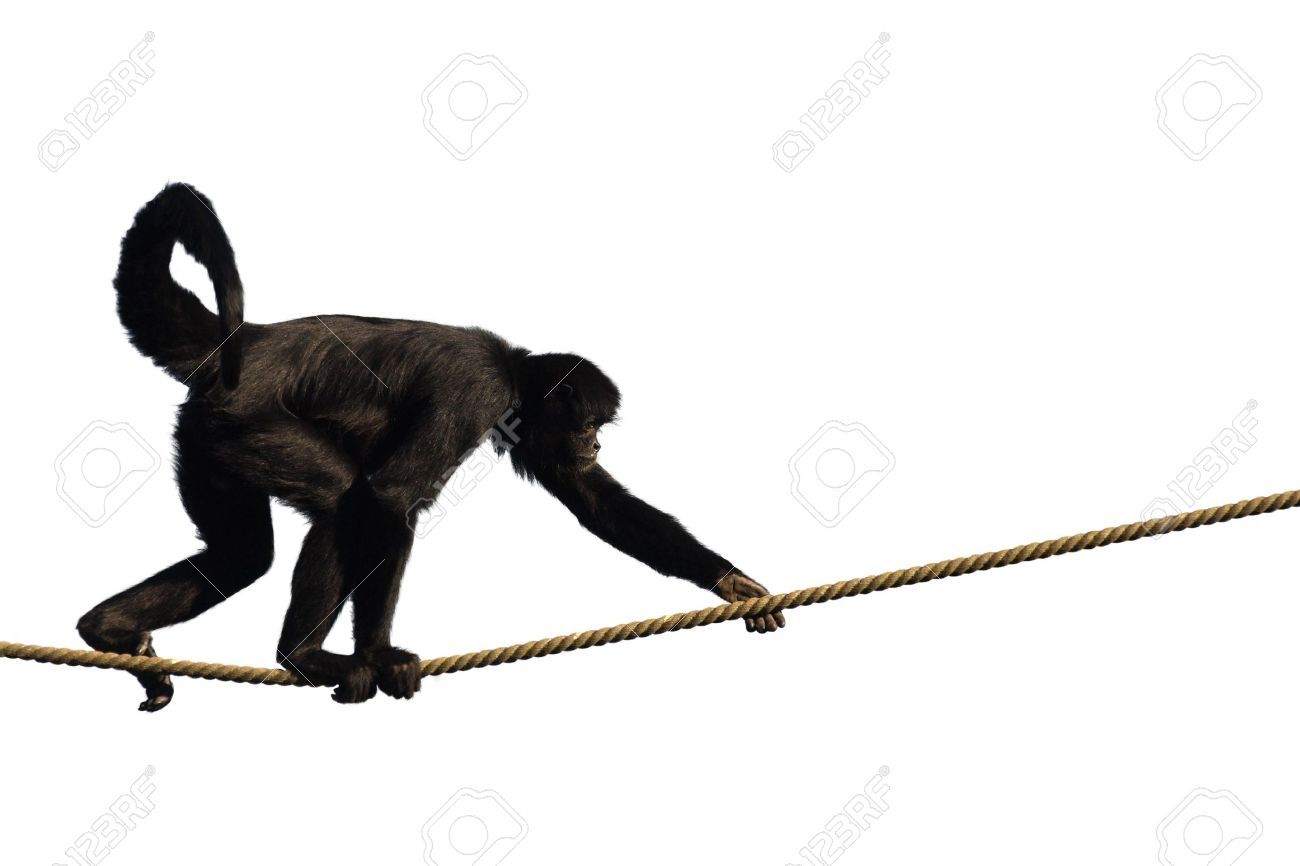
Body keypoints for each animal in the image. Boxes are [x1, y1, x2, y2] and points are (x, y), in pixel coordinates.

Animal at [76, 184, 785, 711]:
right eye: (589, 423)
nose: (595, 442)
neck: (513, 369)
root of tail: (246, 345)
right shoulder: (476, 389)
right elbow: (390, 496)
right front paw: (377, 656)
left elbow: (597, 504)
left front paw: (734, 583)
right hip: (244, 424)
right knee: (340, 500)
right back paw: (304, 657)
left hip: (203, 437)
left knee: (241, 553)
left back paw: (108, 630)